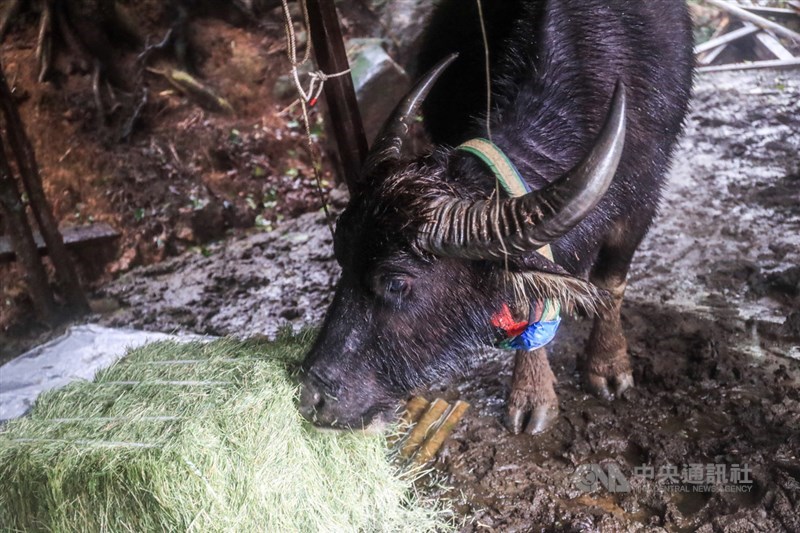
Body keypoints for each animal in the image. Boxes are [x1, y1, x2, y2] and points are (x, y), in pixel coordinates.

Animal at [298, 0, 692, 432]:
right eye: (341, 257)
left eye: (397, 283)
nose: (311, 398)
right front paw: (533, 392)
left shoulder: (641, 202)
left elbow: (610, 283)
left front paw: (607, 365)